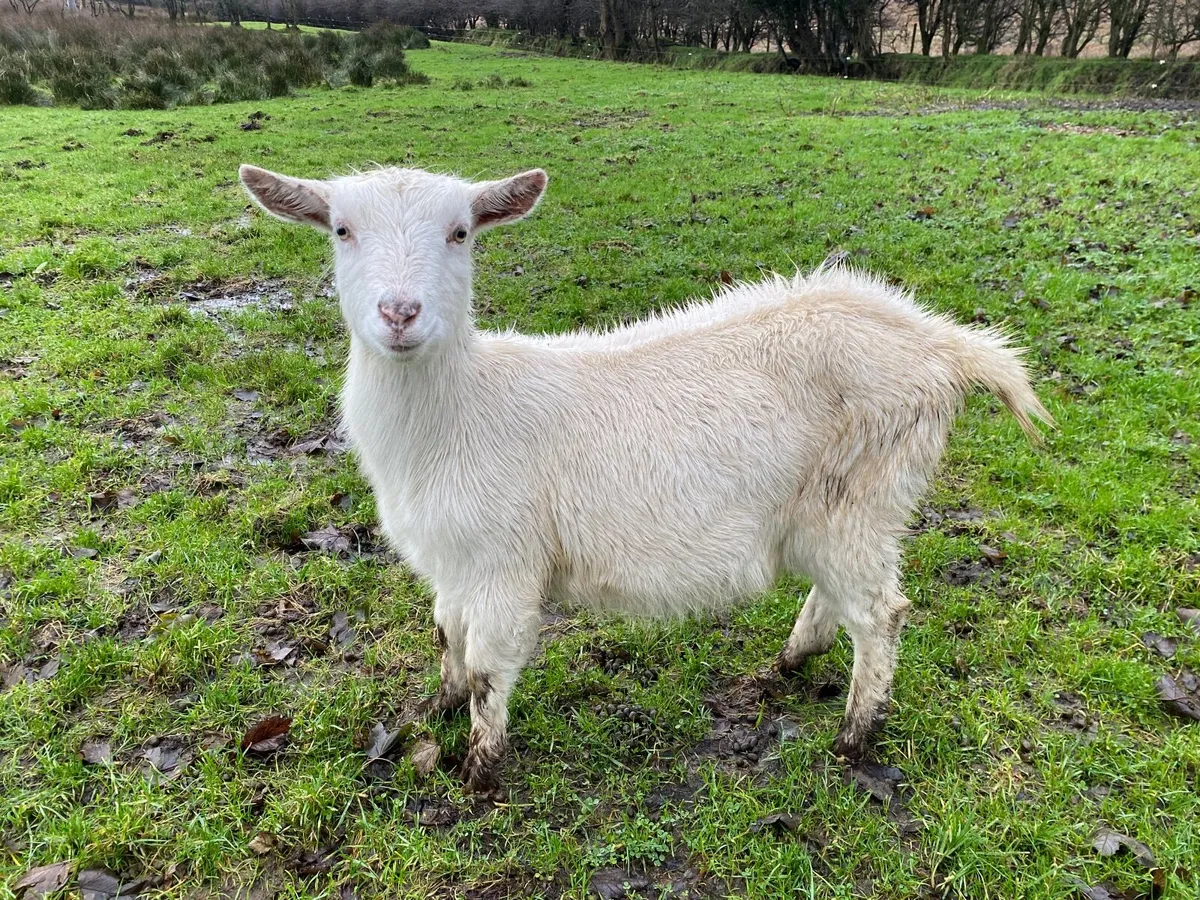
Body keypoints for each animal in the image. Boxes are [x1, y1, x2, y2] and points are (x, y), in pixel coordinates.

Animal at [239, 163, 1052, 791]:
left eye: (460, 232)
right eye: (340, 229)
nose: (400, 312)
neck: (460, 412)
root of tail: (941, 345)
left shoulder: (505, 561)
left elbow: (488, 667)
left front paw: (478, 773)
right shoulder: (453, 560)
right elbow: (447, 637)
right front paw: (431, 710)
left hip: (868, 487)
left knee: (880, 613)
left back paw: (854, 736)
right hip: (836, 504)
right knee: (839, 595)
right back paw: (785, 668)